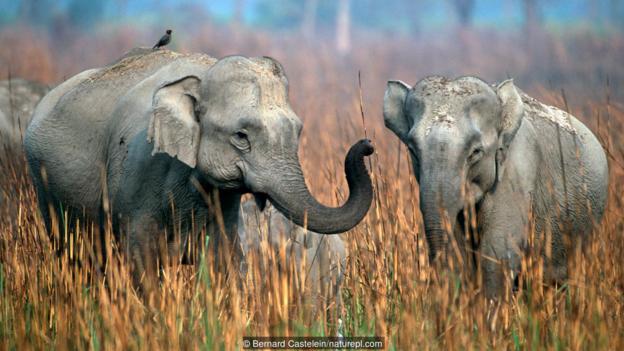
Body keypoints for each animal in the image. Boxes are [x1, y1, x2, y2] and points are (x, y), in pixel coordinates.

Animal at [24, 46, 372, 284]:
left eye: (298, 131)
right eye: (241, 136)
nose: (367, 145)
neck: (201, 75)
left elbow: (225, 261)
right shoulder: (138, 172)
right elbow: (142, 261)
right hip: (45, 187)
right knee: (75, 257)